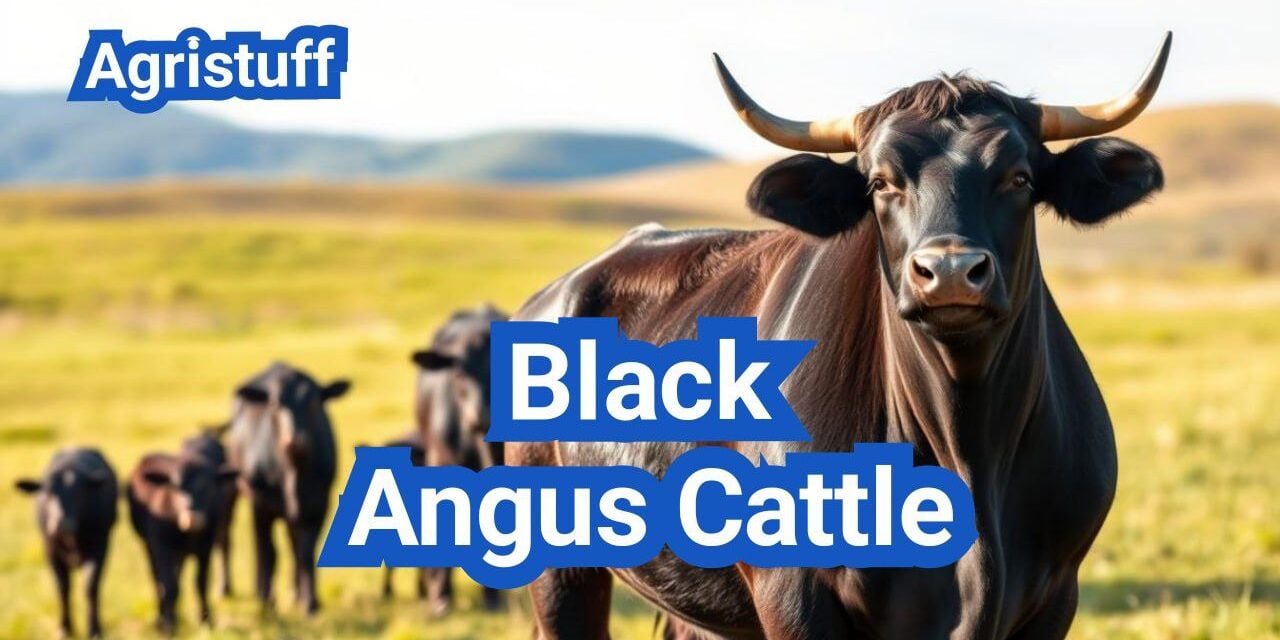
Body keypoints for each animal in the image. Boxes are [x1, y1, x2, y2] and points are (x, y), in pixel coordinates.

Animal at [15, 448, 118, 639]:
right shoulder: (50, 551)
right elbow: (62, 588)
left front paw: (95, 629)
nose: (61, 523)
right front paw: (64, 628)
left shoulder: (100, 547)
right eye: (47, 493)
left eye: (79, 493)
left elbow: (90, 586)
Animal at [126, 447, 237, 634]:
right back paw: (161, 618)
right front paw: (169, 625)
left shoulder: (206, 547)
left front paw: (206, 620)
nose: (192, 517)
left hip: (181, 553)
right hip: (148, 545)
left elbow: (200, 582)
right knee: (157, 578)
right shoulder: (161, 545)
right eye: (175, 487)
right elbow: (169, 585)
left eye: (207, 486)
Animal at [226, 361, 350, 614]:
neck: (293, 472)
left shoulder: (319, 504)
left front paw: (310, 603)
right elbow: (268, 552)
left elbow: (306, 551)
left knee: (294, 545)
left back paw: (296, 593)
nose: (293, 439)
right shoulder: (261, 504)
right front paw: (266, 602)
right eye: (275, 404)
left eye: (313, 402)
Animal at [506, 34, 1172, 640]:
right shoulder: (794, 597)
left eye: (1019, 177)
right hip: (560, 573)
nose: (950, 272)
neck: (967, 448)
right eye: (880, 182)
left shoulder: (1054, 596)